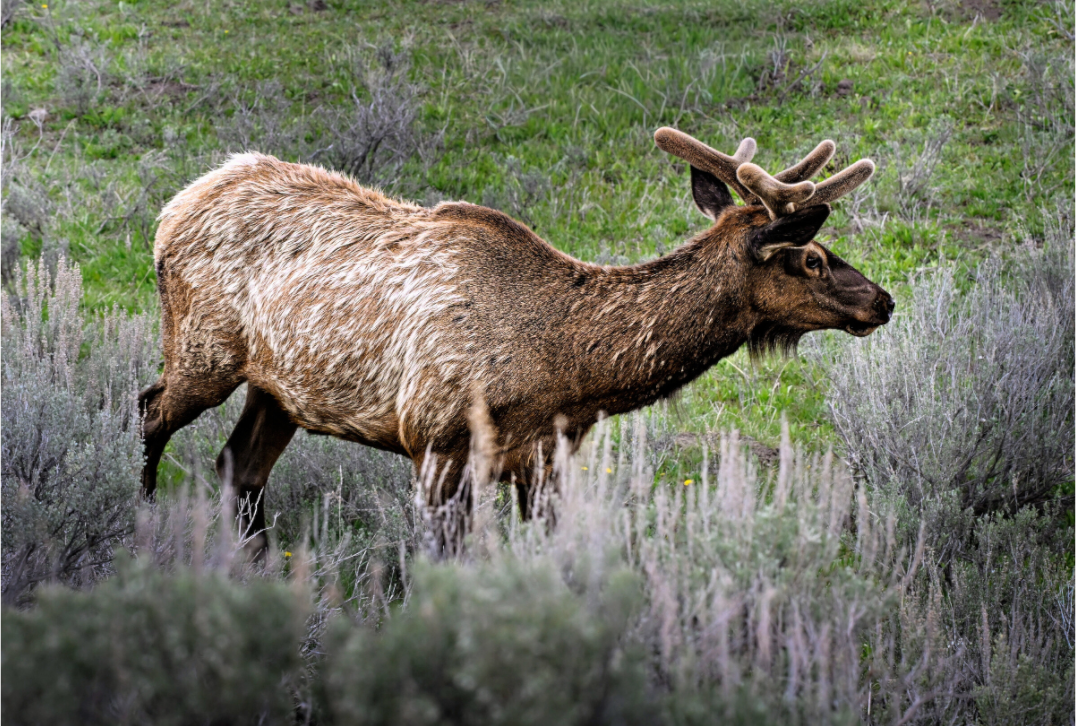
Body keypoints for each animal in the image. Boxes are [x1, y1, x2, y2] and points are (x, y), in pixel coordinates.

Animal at [139, 127, 894, 555]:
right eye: (811, 259)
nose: (882, 301)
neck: (567, 375)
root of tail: (173, 208)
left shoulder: (545, 460)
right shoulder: (436, 440)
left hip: (279, 390)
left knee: (238, 468)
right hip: (204, 350)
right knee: (150, 410)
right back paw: (143, 527)